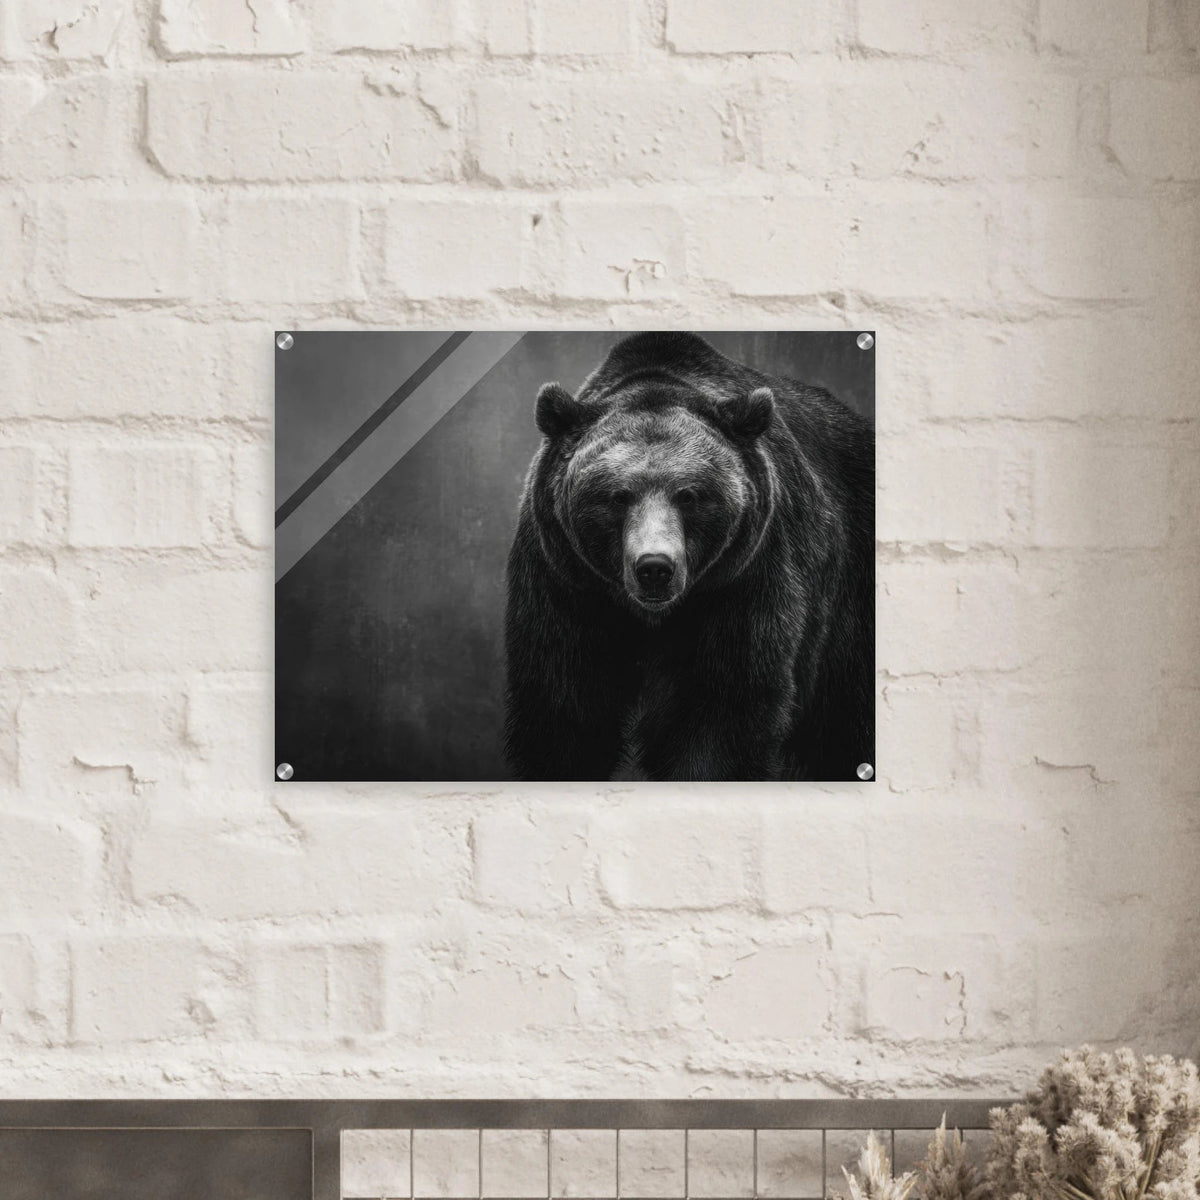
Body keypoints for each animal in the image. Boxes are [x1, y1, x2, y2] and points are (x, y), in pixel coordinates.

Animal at [503, 332, 874, 782]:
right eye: (617, 496)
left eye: (689, 495)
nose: (654, 569)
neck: (653, 617)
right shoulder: (564, 583)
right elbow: (563, 709)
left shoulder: (743, 580)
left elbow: (719, 713)